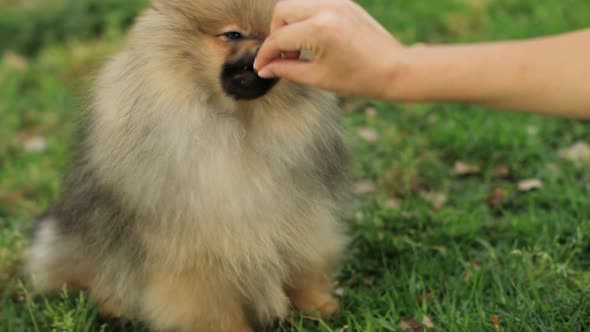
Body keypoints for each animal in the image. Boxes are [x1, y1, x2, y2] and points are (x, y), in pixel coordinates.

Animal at [27, 1, 350, 330]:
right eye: (233, 35)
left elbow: (305, 262)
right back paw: (112, 307)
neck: (237, 125)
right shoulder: (194, 246)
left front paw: (316, 306)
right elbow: (211, 306)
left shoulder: (297, 213)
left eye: (281, 35)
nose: (265, 49)